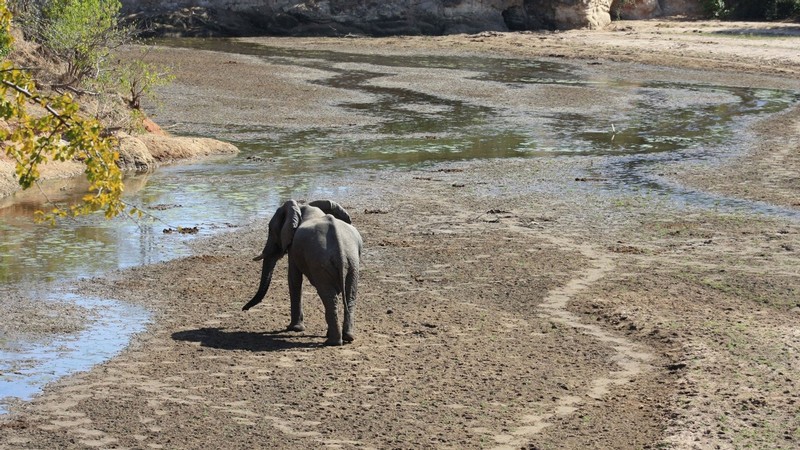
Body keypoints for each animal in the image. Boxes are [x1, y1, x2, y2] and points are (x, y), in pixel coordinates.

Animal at [242, 199, 363, 346]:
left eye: (270, 229)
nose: (244, 309)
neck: (303, 208)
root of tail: (340, 249)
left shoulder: (293, 246)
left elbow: (294, 279)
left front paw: (294, 329)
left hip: (322, 263)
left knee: (328, 296)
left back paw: (332, 342)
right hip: (352, 262)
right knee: (350, 294)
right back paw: (347, 337)